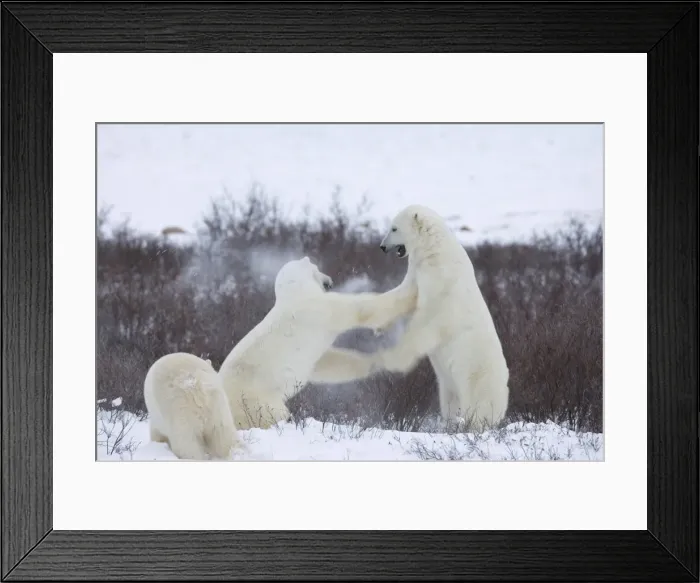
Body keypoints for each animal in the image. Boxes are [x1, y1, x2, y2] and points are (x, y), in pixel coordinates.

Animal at [219, 256, 417, 429]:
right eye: (317, 267)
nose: (330, 280)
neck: (296, 294)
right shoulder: (321, 309)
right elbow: (362, 309)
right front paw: (411, 290)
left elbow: (326, 363)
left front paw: (377, 362)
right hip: (256, 401)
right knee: (271, 415)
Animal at [374, 204, 510, 430]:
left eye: (394, 228)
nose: (382, 247)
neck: (434, 250)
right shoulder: (418, 270)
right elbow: (405, 293)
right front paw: (377, 326)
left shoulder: (442, 279)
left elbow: (429, 316)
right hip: (446, 383)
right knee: (449, 399)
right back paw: (449, 422)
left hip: (474, 369)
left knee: (476, 402)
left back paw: (471, 424)